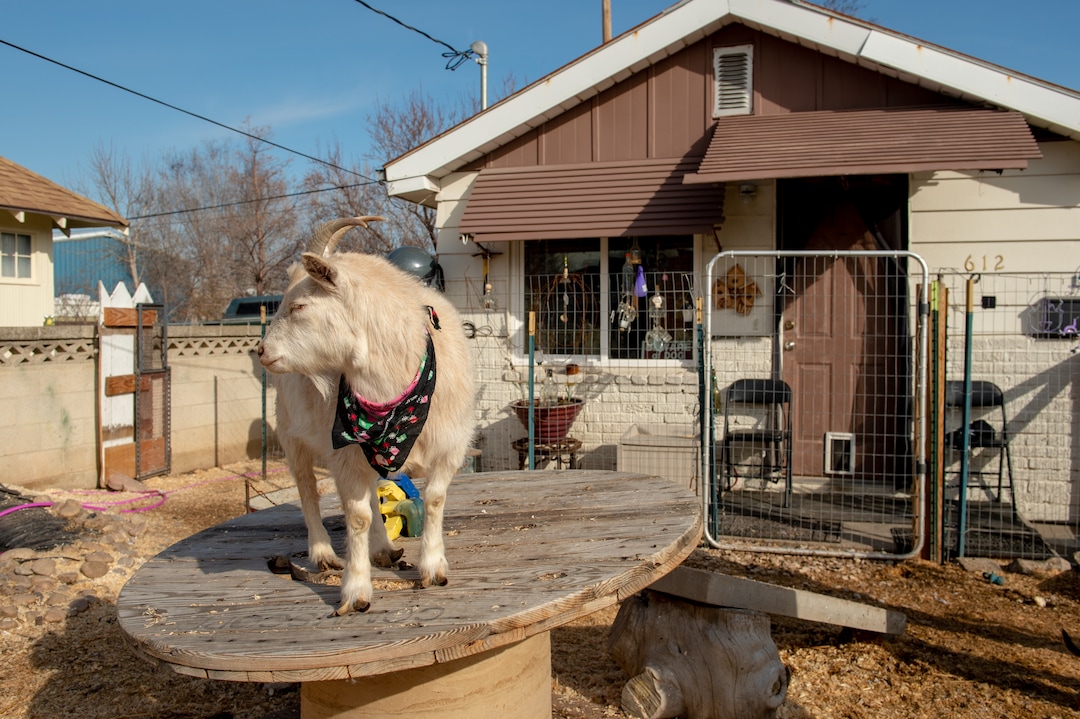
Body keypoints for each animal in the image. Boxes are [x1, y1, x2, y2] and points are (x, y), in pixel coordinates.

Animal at [257, 217, 475, 616]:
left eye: (299, 306)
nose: (262, 350)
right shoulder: (344, 453)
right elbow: (356, 515)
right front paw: (356, 592)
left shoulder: (450, 446)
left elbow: (434, 499)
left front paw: (433, 568)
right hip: (292, 433)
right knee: (307, 488)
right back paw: (323, 553)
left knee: (373, 494)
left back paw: (384, 549)